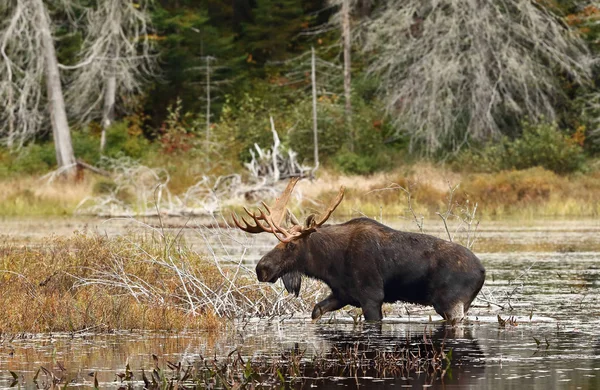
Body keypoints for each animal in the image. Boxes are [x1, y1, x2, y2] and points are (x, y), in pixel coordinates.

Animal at [232, 178, 486, 322]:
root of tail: (483, 272)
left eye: (292, 244)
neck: (328, 263)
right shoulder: (343, 294)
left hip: (451, 303)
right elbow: (316, 311)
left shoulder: (371, 296)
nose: (261, 268)